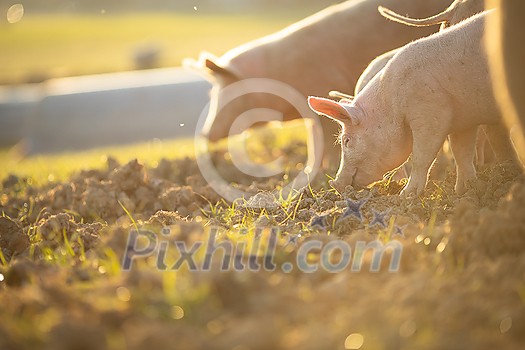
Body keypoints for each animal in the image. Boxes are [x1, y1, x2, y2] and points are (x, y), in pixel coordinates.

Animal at [310, 10, 502, 196]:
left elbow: (420, 156)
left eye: (346, 140)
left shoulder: (429, 112)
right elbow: (462, 151)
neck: (391, 103)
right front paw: (465, 191)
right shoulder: (464, 121)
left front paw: (407, 195)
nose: (334, 184)